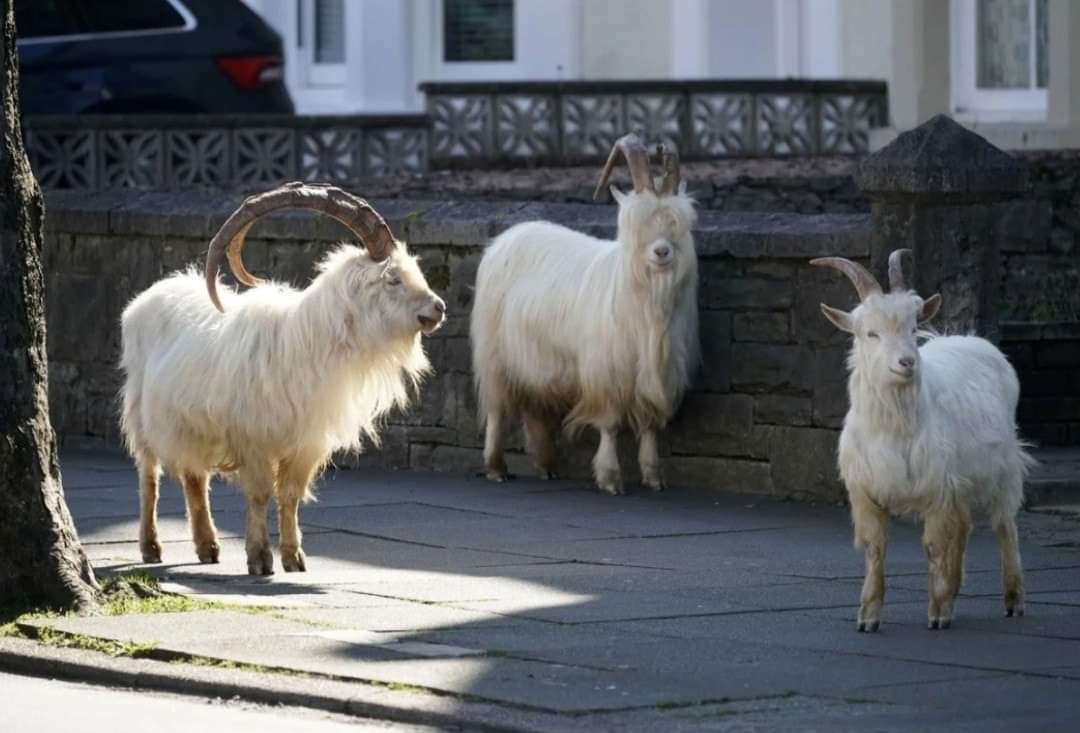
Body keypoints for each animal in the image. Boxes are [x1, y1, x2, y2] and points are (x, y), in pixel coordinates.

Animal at [120, 183, 445, 575]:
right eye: (393, 279)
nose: (438, 308)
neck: (309, 342)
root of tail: (146, 298)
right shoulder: (254, 438)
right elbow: (261, 493)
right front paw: (259, 558)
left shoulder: (306, 442)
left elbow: (289, 495)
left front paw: (293, 557)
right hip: (142, 414)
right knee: (149, 476)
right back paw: (151, 546)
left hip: (193, 426)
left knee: (194, 477)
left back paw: (208, 546)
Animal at [470, 133, 699, 494]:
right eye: (636, 222)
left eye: (679, 223)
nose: (662, 252)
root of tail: (505, 238)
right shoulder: (605, 371)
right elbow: (610, 424)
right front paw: (610, 478)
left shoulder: (657, 372)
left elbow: (649, 423)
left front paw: (653, 476)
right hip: (495, 353)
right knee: (496, 408)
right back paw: (496, 467)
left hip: (534, 360)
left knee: (532, 408)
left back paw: (546, 465)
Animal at [813, 250, 1031, 631]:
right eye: (870, 333)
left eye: (913, 328)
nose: (907, 362)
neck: (894, 428)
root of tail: (971, 339)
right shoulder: (867, 491)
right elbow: (876, 548)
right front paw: (868, 615)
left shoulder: (937, 489)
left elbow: (933, 548)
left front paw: (937, 612)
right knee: (964, 525)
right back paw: (955, 591)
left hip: (1004, 468)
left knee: (1004, 526)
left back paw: (1012, 599)